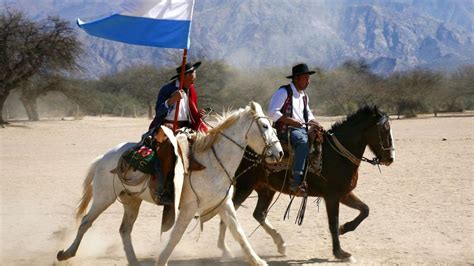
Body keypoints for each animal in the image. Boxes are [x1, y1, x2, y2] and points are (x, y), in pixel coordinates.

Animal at [57, 101, 284, 264]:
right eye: (265, 126)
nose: (280, 153)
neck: (212, 161)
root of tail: (104, 157)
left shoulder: (224, 204)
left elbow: (239, 233)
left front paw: (258, 260)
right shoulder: (188, 208)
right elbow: (175, 236)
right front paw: (162, 261)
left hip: (131, 201)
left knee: (124, 230)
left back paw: (134, 261)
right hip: (104, 197)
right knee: (86, 222)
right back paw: (66, 253)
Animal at [217, 105, 394, 260]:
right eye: (384, 130)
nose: (390, 158)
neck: (337, 154)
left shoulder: (344, 194)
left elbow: (365, 210)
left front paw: (344, 229)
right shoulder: (332, 197)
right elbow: (333, 222)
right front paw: (340, 252)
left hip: (265, 188)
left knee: (259, 214)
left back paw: (280, 244)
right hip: (245, 186)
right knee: (229, 213)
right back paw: (224, 250)